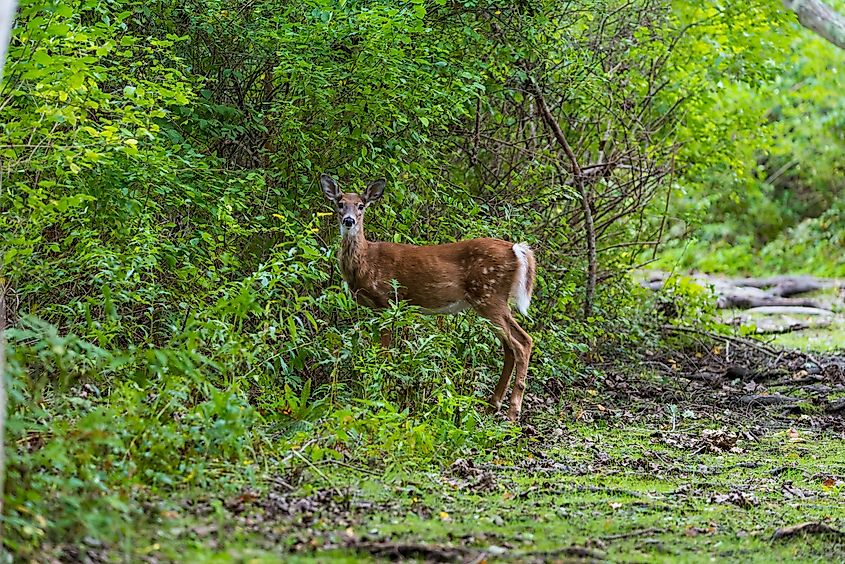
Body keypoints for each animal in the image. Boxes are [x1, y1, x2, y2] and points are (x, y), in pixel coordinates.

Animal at [320, 174, 536, 420]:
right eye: (340, 203)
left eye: (361, 205)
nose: (348, 221)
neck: (365, 262)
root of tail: (516, 250)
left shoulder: (387, 300)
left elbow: (384, 350)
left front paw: (380, 387)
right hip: (493, 299)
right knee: (509, 347)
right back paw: (494, 404)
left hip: (489, 295)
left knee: (523, 342)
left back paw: (512, 412)